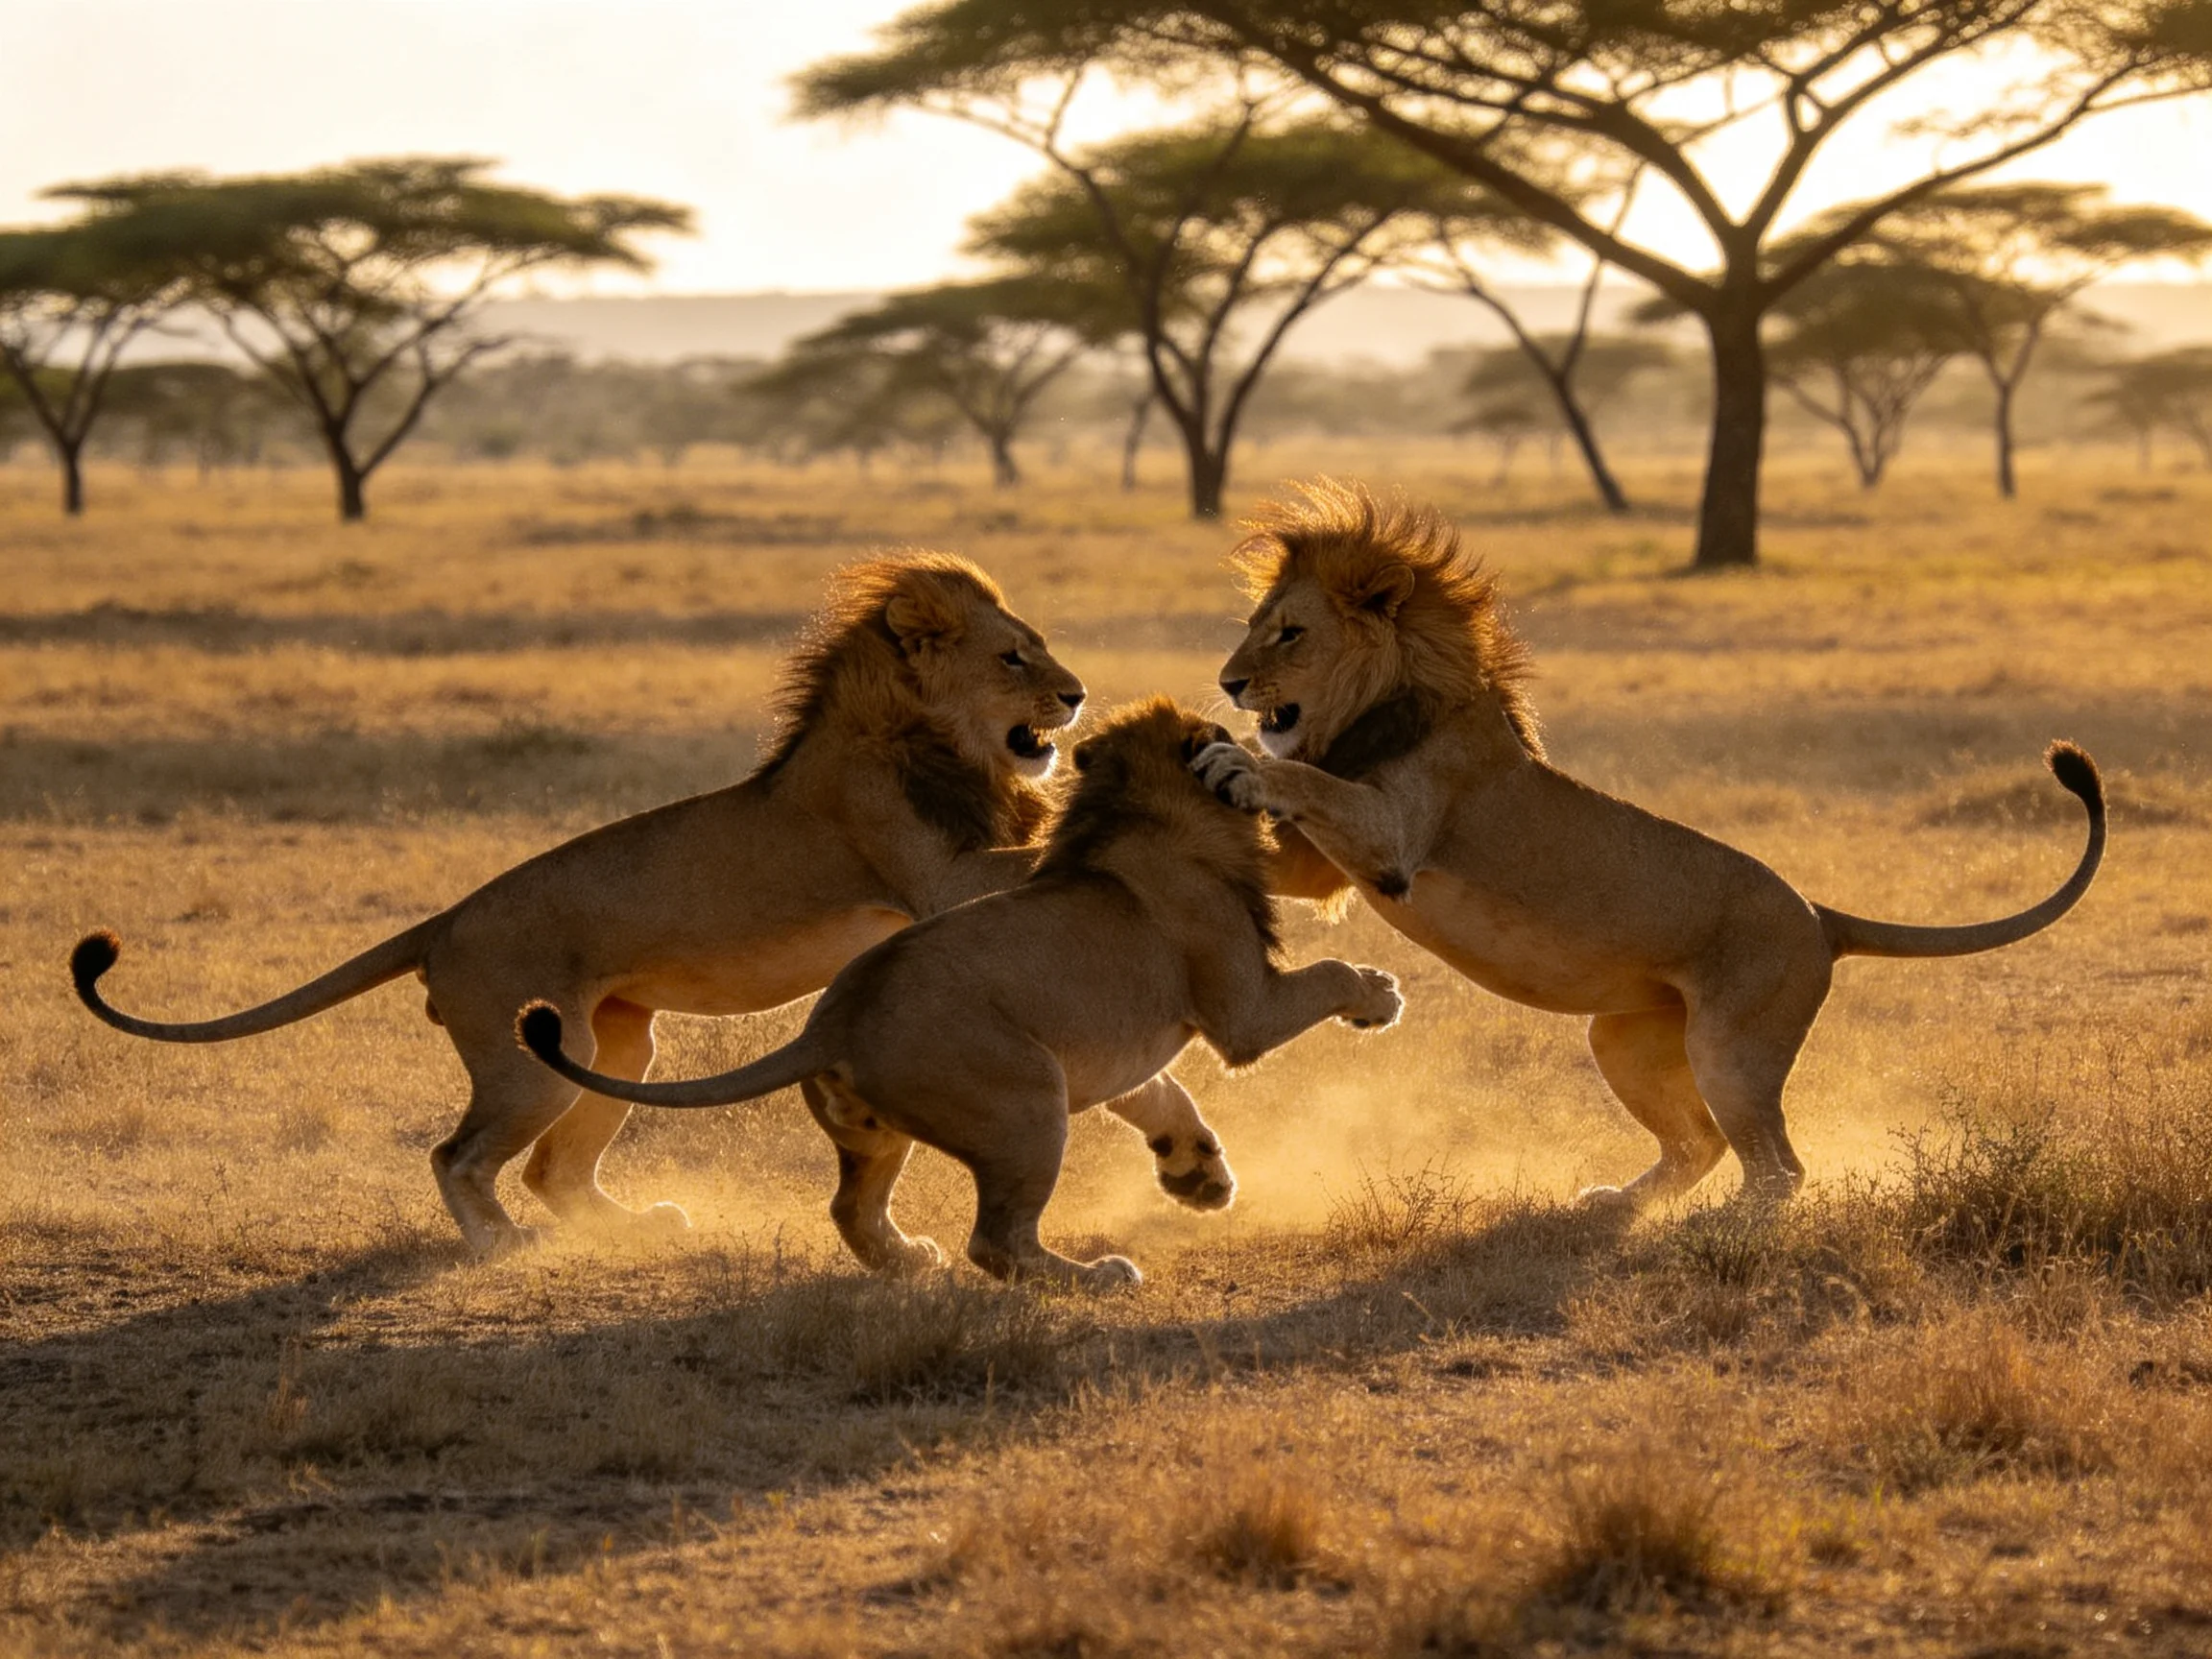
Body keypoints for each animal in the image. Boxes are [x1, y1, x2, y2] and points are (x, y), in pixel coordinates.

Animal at [72, 554, 1088, 1256]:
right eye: (1014, 657)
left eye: (1042, 650)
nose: (1077, 694)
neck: (943, 739)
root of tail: (446, 921)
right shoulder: (928, 872)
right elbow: (1017, 858)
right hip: (534, 1061)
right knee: (460, 1155)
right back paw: (500, 1245)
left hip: (617, 1043)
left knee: (554, 1168)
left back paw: (636, 1224)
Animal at [517, 697, 1405, 1289]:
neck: (1135, 809)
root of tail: (829, 1022)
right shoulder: (1241, 1011)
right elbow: (1324, 977)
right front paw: (1378, 995)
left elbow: (1165, 1092)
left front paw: (1199, 1177)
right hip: (1029, 1106)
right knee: (998, 1243)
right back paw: (1096, 1276)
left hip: (880, 1134)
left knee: (852, 1210)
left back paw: (910, 1260)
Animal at [1191, 480, 2106, 1209]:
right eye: (1254, 626)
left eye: (1290, 634)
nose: (1229, 683)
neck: (1383, 703)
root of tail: (1820, 917)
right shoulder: (1323, 868)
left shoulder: (1398, 838)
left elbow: (1310, 784)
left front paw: (1238, 761)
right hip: (1625, 1039)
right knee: (1701, 1143)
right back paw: (1618, 1201)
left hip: (1733, 1047)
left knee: (1778, 1166)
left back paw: (1726, 1230)